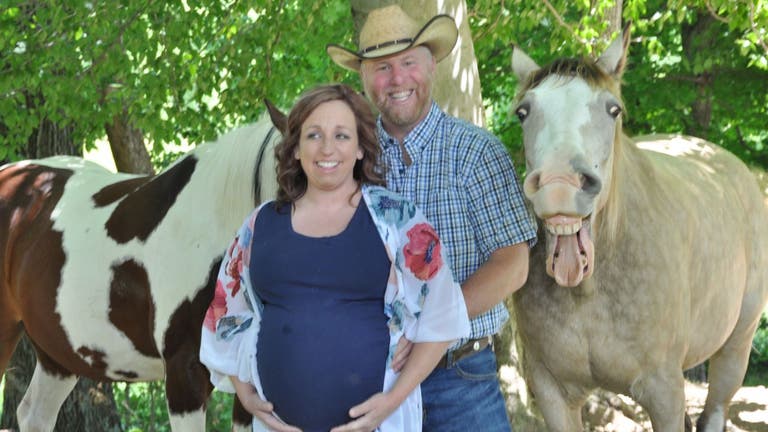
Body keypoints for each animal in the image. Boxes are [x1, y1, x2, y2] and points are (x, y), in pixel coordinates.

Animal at [510, 27, 768, 432]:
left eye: (612, 109)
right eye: (524, 111)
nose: (559, 184)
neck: (588, 292)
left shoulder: (664, 391)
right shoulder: (551, 391)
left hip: (735, 347)